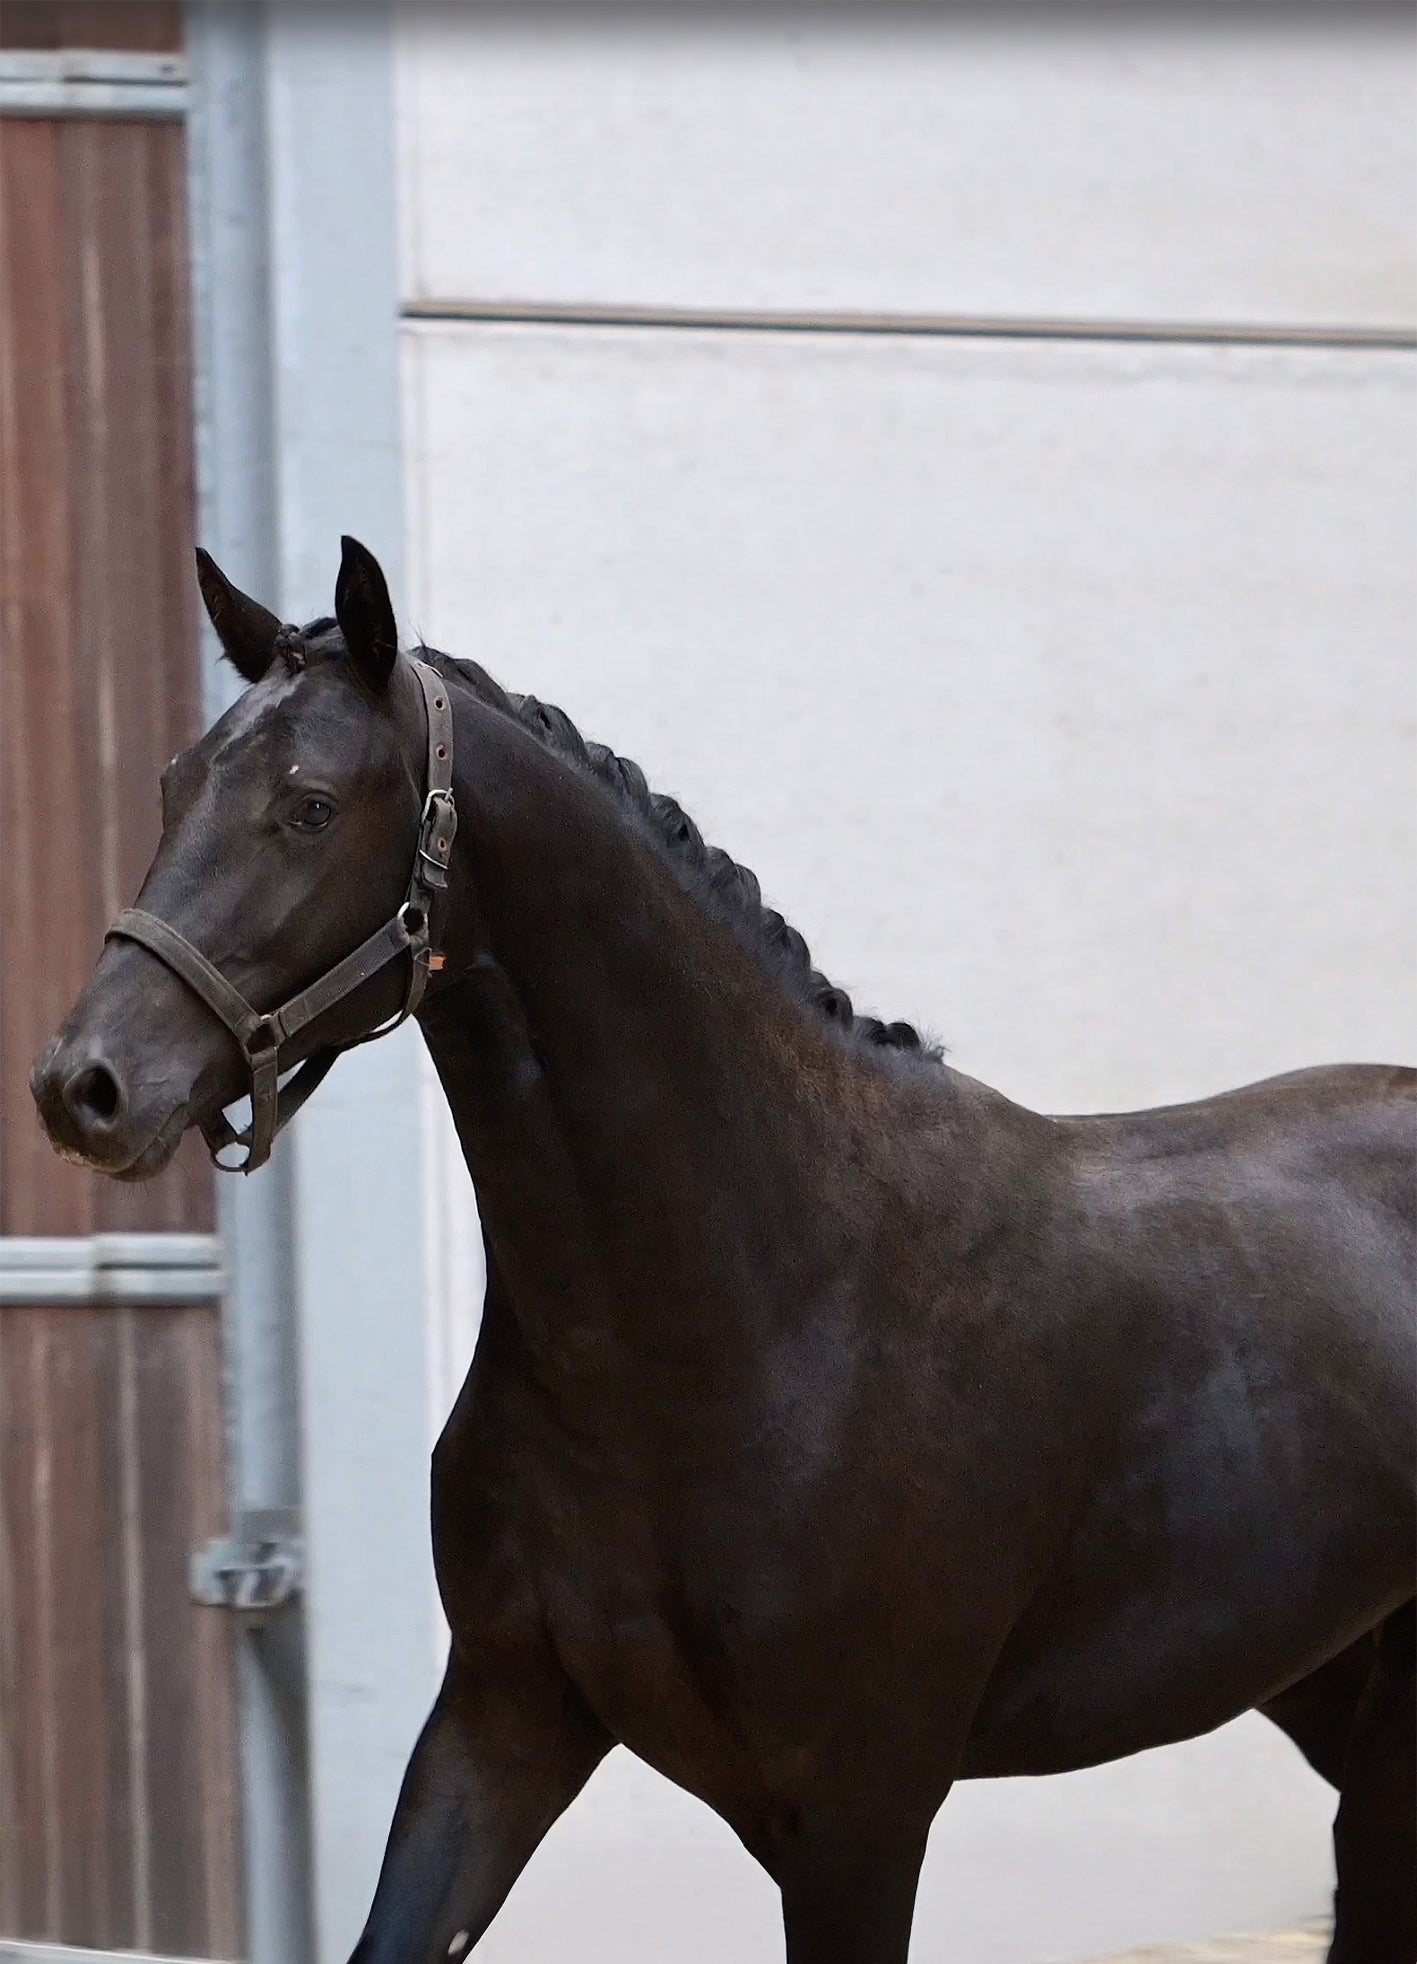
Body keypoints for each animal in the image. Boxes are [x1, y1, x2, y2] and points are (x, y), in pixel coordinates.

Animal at [32, 539, 1415, 1964]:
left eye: (308, 807)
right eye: (174, 783)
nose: (87, 1086)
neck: (759, 1307)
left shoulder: (860, 1813)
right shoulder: (499, 1723)